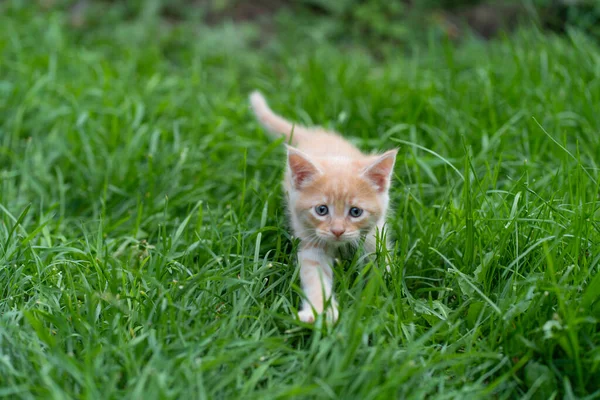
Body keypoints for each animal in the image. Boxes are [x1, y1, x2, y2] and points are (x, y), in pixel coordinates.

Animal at [246, 92, 396, 324]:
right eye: (322, 210)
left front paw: (382, 289)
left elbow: (379, 259)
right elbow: (316, 279)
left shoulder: (375, 233)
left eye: (355, 212)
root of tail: (314, 135)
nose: (337, 231)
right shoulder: (310, 243)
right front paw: (319, 312)